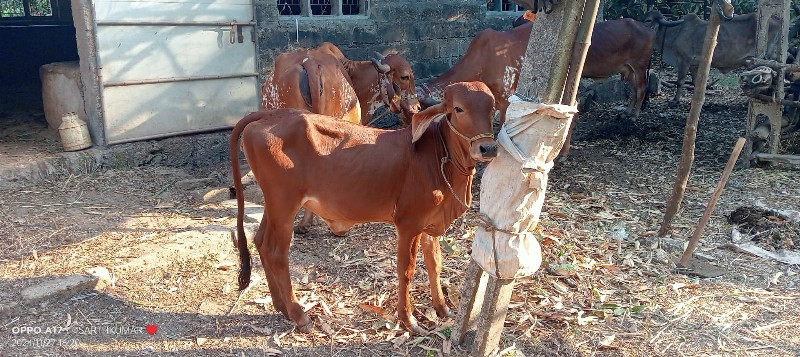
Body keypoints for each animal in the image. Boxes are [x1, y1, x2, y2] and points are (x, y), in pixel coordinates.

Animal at [228, 81, 496, 334]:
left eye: (492, 108)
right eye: (458, 108)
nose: (489, 148)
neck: (439, 157)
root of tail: (269, 115)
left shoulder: (431, 225)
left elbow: (435, 264)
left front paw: (442, 307)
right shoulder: (408, 224)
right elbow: (406, 270)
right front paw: (408, 320)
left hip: (273, 204)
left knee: (261, 242)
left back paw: (281, 307)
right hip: (284, 203)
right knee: (276, 253)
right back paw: (299, 315)